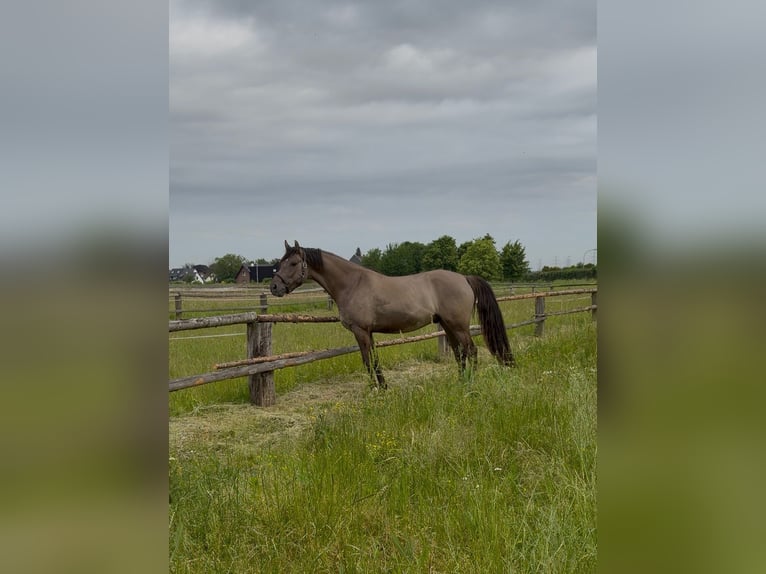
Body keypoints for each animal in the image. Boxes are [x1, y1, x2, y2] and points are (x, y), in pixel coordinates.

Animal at [270, 240, 515, 388]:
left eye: (293, 263)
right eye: (280, 263)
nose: (274, 287)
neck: (352, 283)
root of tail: (463, 278)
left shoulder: (361, 331)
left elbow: (368, 361)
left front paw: (374, 390)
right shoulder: (367, 333)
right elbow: (374, 359)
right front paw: (383, 387)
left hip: (458, 326)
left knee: (471, 351)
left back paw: (471, 382)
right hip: (447, 325)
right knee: (459, 353)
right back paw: (460, 381)